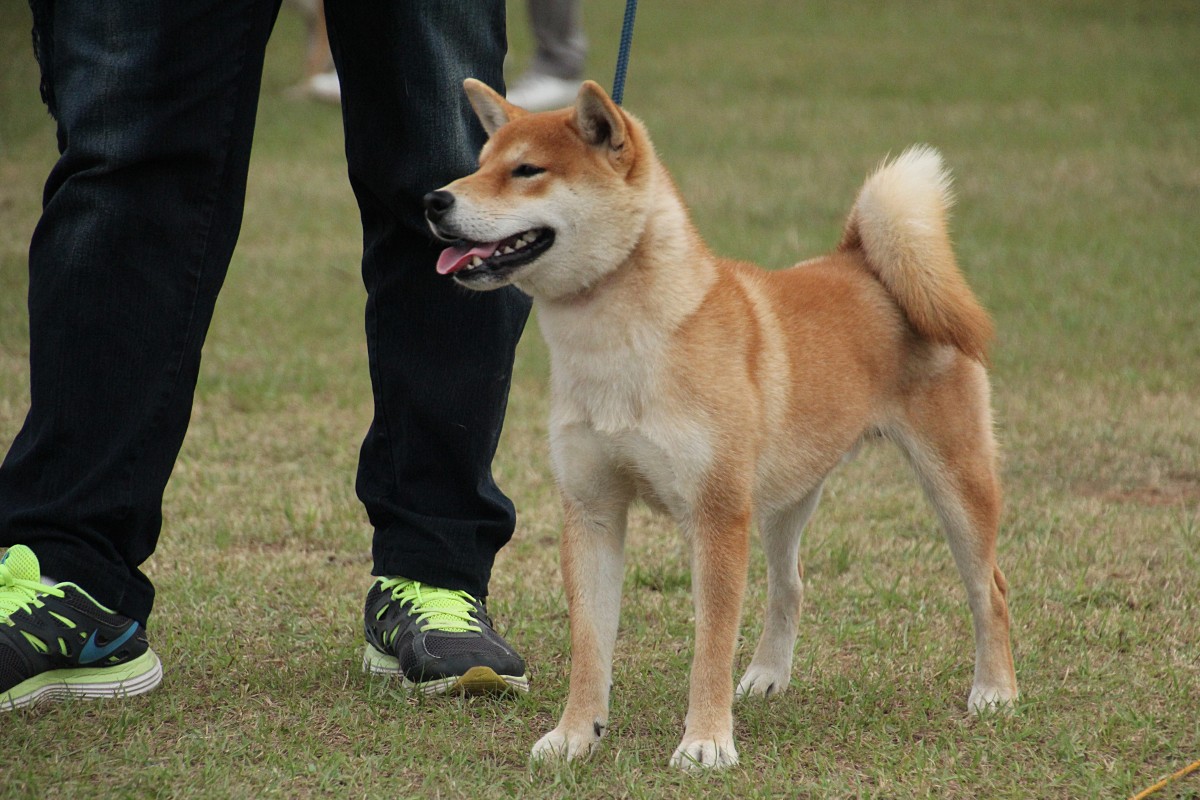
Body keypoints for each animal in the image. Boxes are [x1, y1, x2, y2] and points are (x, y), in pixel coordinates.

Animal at [427, 79, 1017, 767]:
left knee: (990, 589)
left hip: (953, 482)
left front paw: (706, 742)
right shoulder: (592, 511)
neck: (621, 347)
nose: (434, 201)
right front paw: (575, 735)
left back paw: (994, 691)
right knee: (790, 586)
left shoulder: (715, 515)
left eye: (527, 171)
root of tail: (864, 265)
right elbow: (590, 647)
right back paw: (767, 676)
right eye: (480, 163)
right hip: (784, 497)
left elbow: (709, 645)